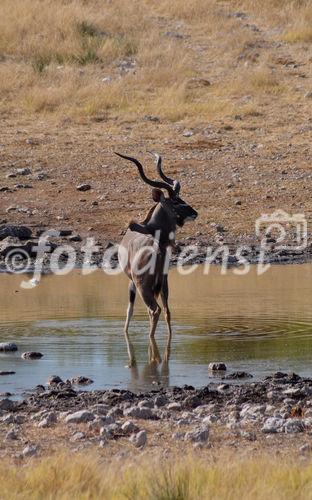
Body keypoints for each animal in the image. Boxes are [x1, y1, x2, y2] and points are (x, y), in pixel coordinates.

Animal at [114, 152, 197, 368]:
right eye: (175, 201)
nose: (194, 213)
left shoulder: (131, 282)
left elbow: (129, 310)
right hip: (164, 285)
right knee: (166, 311)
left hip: (143, 286)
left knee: (155, 310)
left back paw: (153, 351)